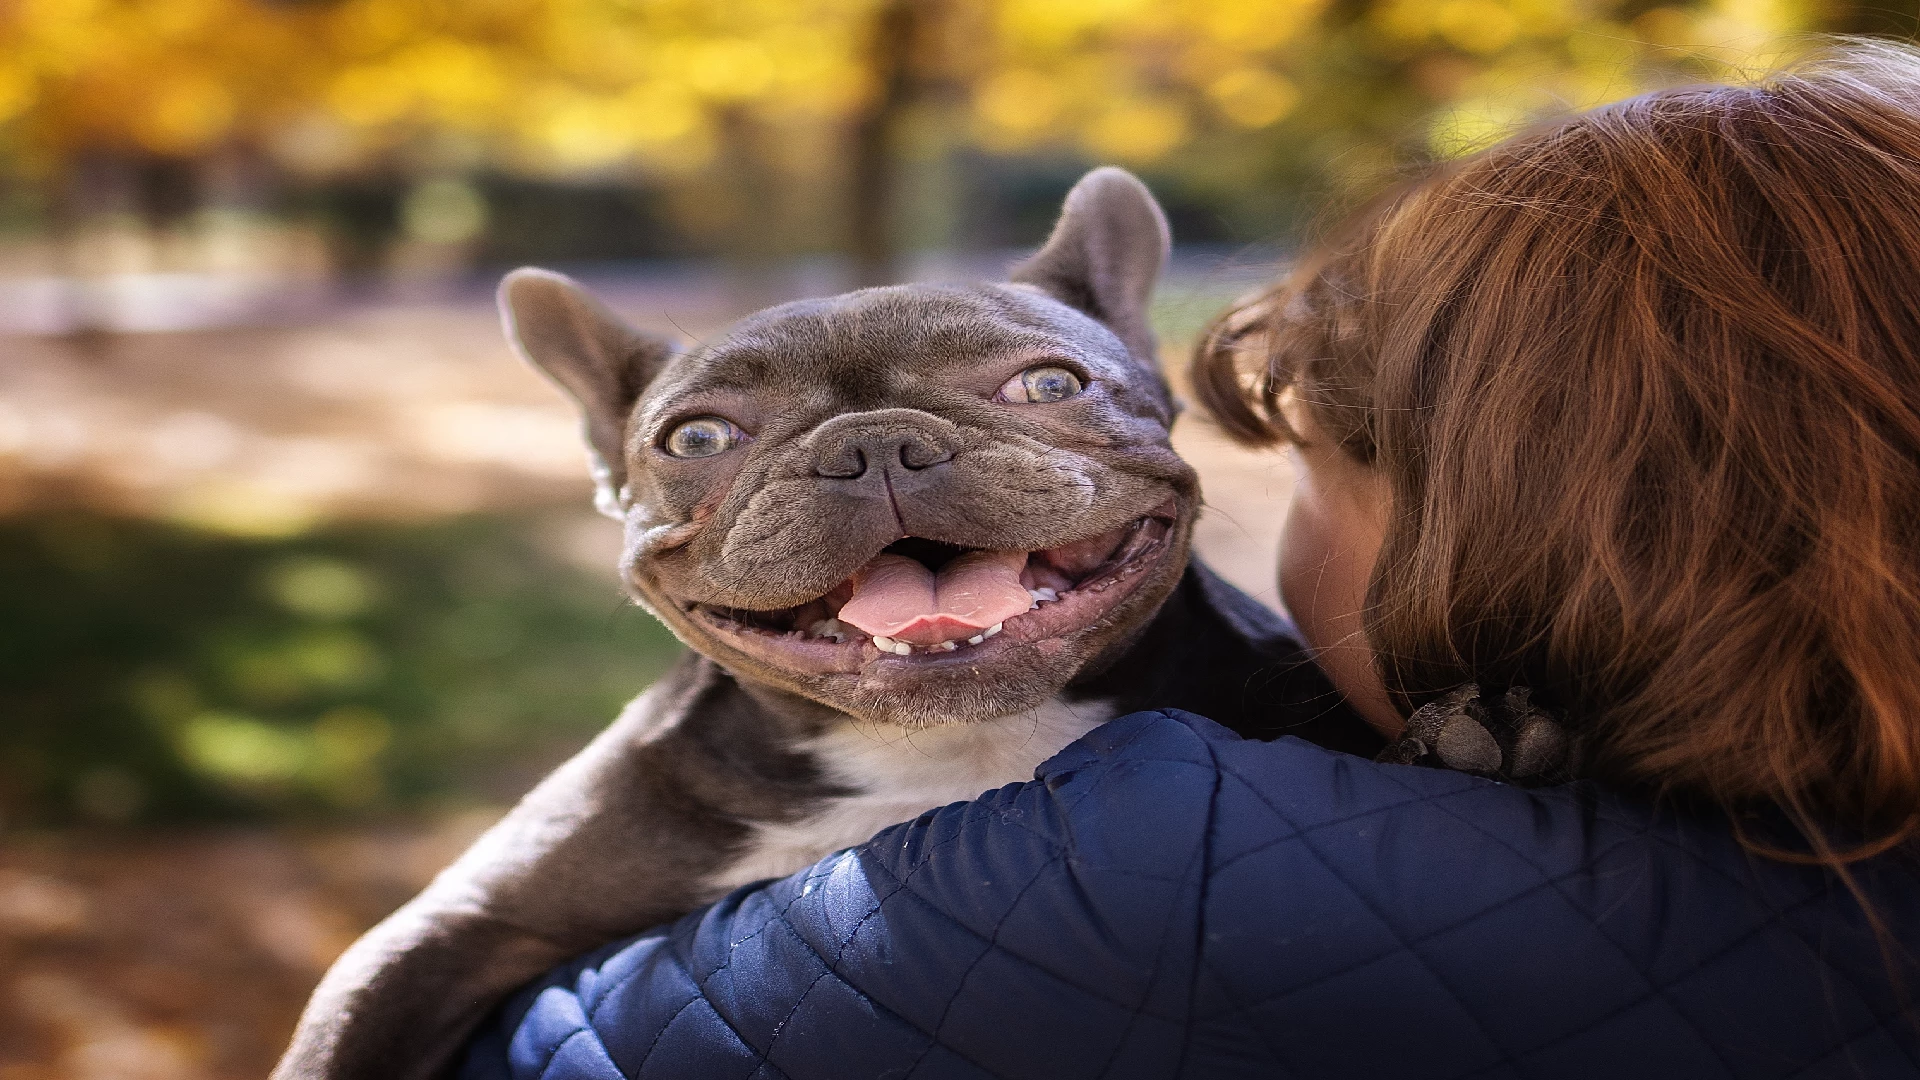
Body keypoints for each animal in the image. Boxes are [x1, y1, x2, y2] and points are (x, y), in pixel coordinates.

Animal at [274, 166, 1367, 1076]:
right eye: (697, 438)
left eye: (1051, 383)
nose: (873, 444)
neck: (953, 750)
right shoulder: (453, 929)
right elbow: (344, 1034)